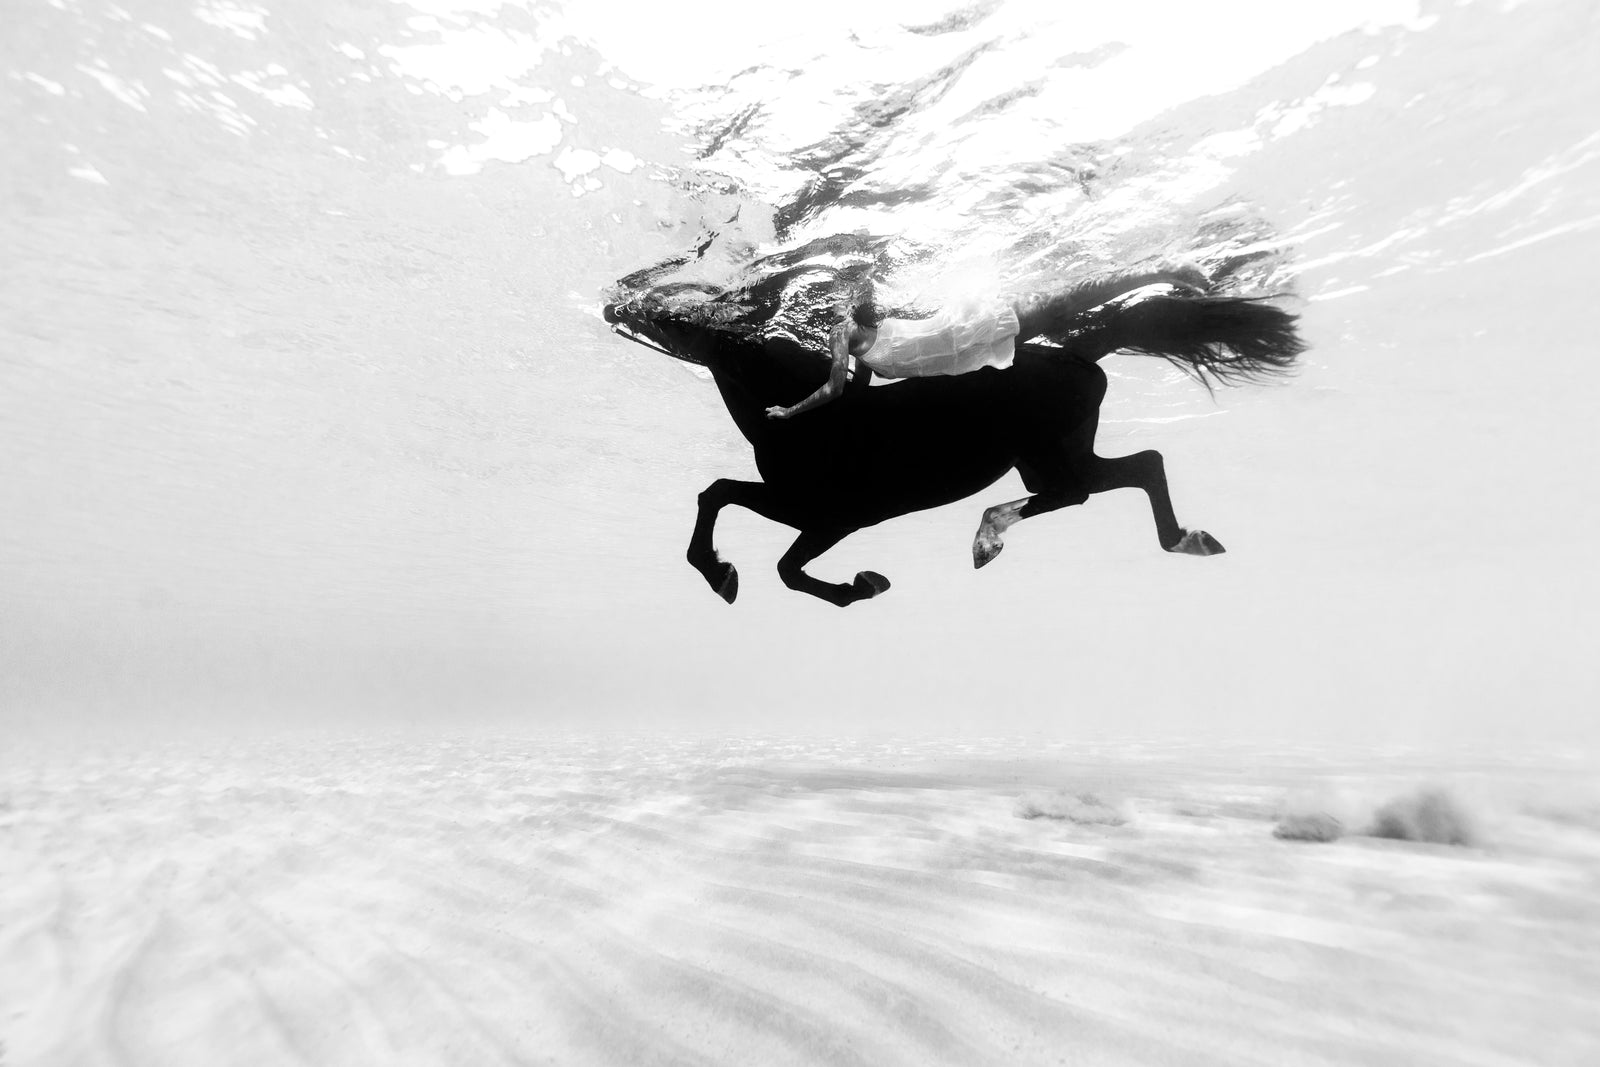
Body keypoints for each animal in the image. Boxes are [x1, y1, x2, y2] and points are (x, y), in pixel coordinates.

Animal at [601, 275, 1304, 606]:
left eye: (682, 317)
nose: (618, 306)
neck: (809, 422)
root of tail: (1076, 351)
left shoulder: (833, 517)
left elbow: (785, 566)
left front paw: (863, 584)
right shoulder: (799, 507)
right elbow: (718, 494)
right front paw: (723, 573)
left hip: (1043, 453)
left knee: (1078, 491)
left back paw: (987, 536)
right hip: (1054, 453)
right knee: (1136, 467)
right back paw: (1189, 539)